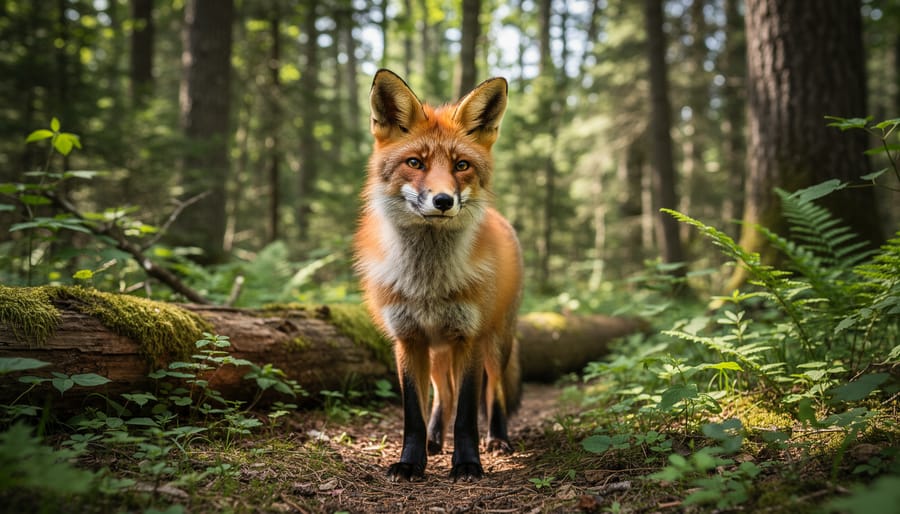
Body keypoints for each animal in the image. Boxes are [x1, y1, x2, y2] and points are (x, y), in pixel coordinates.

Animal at [354, 69, 523, 482]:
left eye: (461, 165)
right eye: (415, 162)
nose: (443, 201)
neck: (428, 284)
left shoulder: (469, 338)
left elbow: (466, 414)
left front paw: (467, 464)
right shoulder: (408, 339)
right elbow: (414, 414)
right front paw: (411, 462)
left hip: (496, 342)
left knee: (494, 392)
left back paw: (498, 439)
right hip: (438, 352)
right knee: (442, 395)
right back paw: (434, 440)